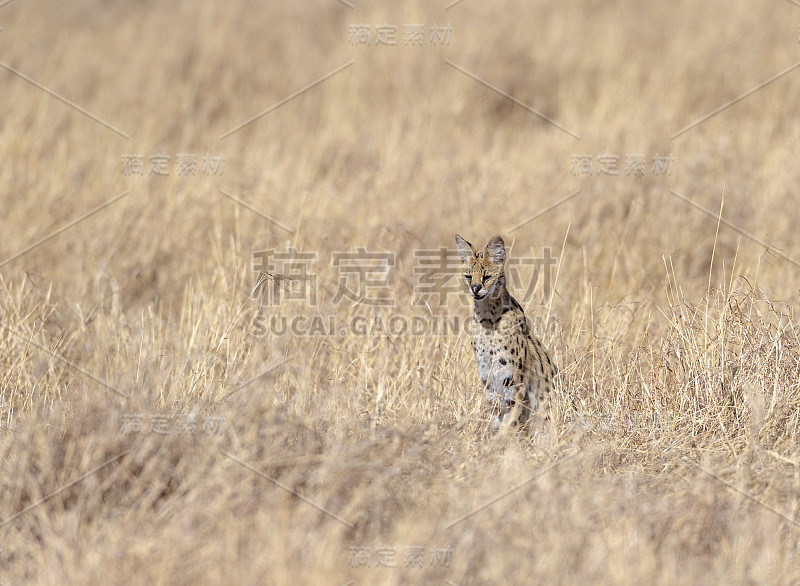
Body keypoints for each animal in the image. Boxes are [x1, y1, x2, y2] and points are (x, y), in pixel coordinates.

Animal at [454, 233, 560, 428]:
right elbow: (497, 418)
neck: (487, 320)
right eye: (468, 276)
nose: (475, 289)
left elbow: (511, 421)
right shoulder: (489, 379)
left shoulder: (512, 381)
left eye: (487, 276)